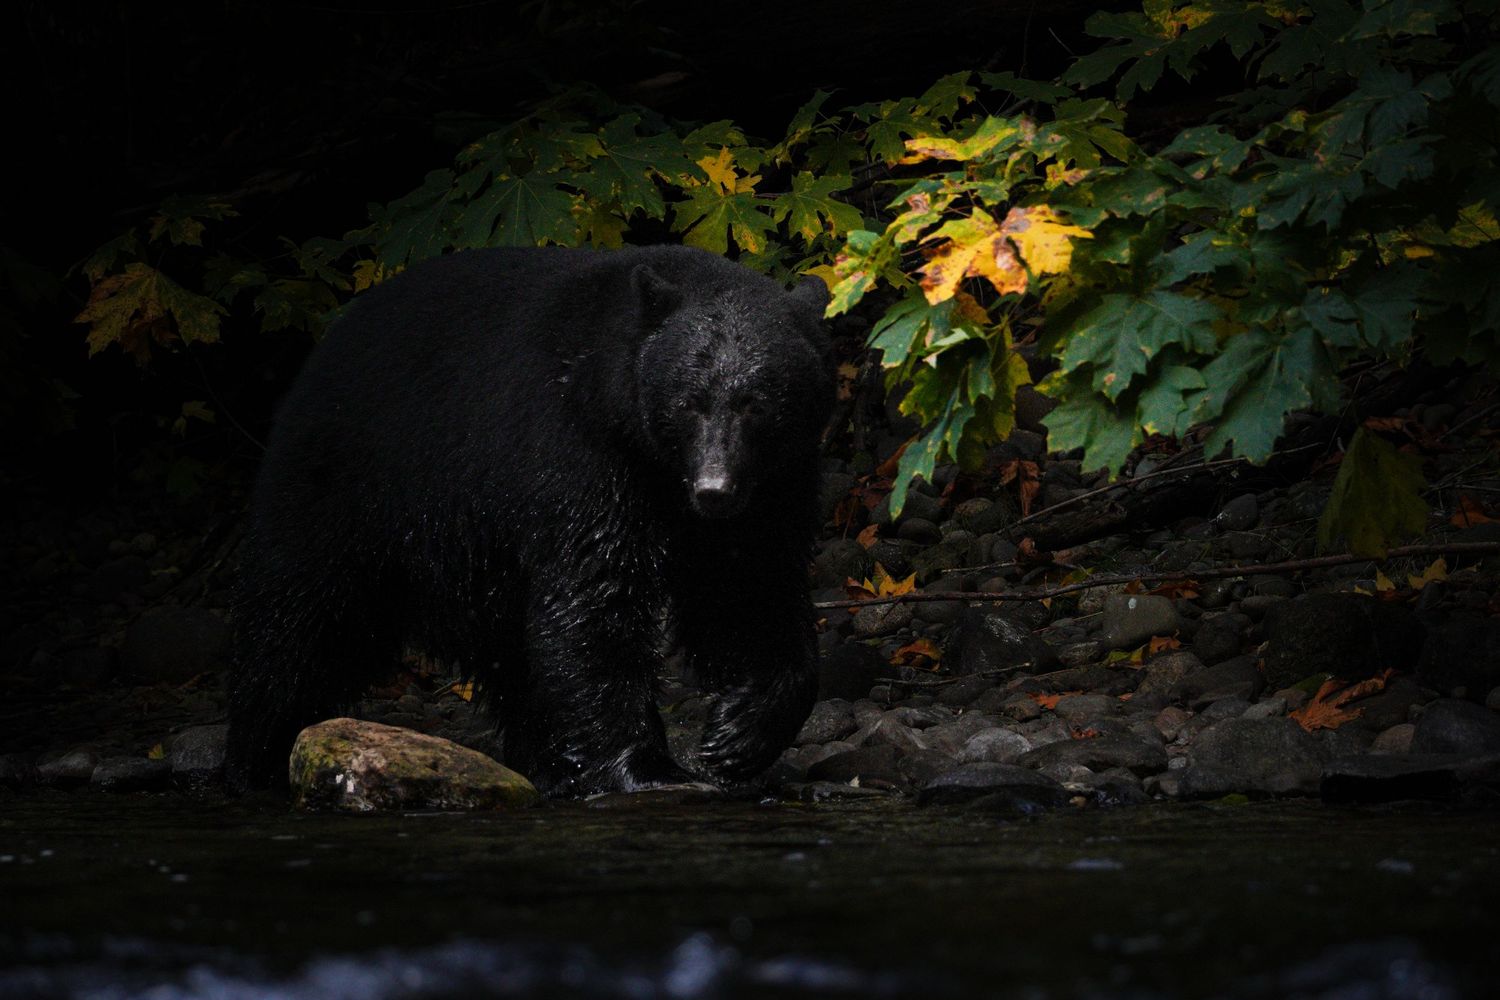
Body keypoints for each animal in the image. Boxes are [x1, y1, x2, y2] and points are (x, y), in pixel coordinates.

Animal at [224, 245, 834, 796]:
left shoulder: (771, 485)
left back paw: (550, 763)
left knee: (510, 653)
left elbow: (749, 587)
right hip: (351, 486)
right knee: (299, 622)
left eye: (757, 403)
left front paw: (738, 734)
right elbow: (594, 595)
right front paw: (650, 770)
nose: (715, 490)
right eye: (689, 402)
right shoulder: (578, 451)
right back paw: (258, 758)